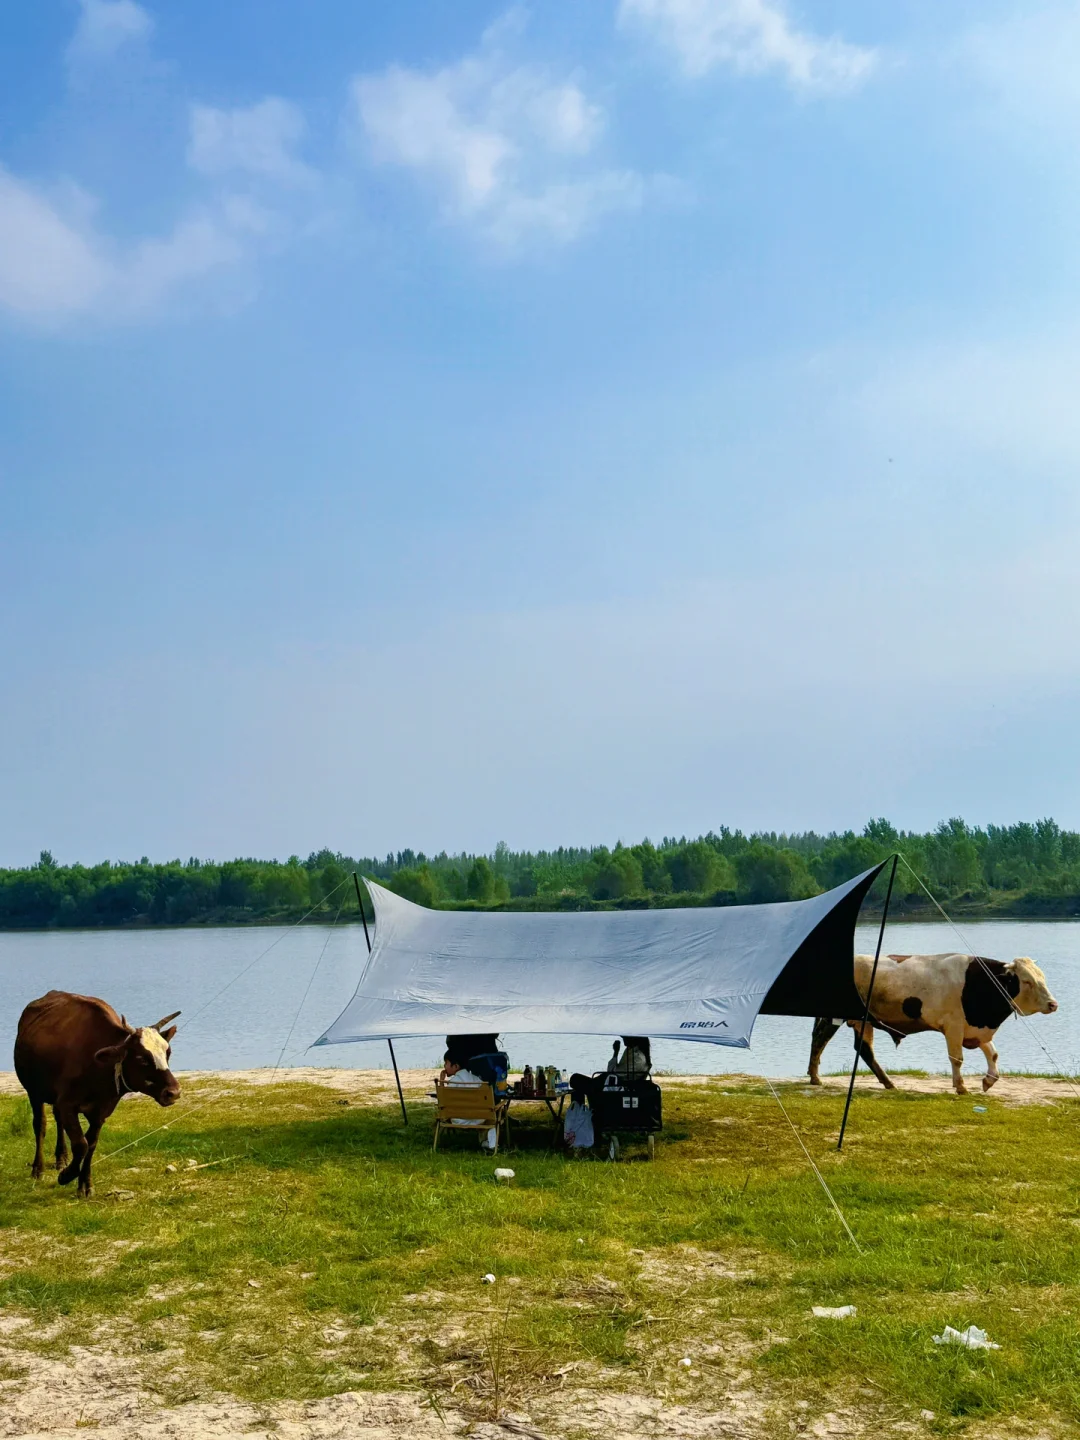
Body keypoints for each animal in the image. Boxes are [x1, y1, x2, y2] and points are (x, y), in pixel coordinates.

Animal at [14, 990, 180, 1192]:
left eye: (168, 1053)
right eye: (141, 1058)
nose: (174, 1092)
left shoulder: (101, 1110)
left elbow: (91, 1144)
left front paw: (84, 1183)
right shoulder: (67, 1103)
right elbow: (81, 1144)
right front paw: (67, 1176)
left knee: (58, 1120)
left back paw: (61, 1158)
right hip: (34, 1091)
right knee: (40, 1125)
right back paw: (38, 1169)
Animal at [812, 950, 1059, 1094]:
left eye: (1042, 977)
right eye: (1026, 981)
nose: (1053, 1004)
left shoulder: (977, 1028)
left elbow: (993, 1054)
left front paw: (989, 1081)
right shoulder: (954, 1026)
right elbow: (957, 1058)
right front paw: (961, 1087)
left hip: (862, 1021)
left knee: (849, 1045)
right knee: (828, 1041)